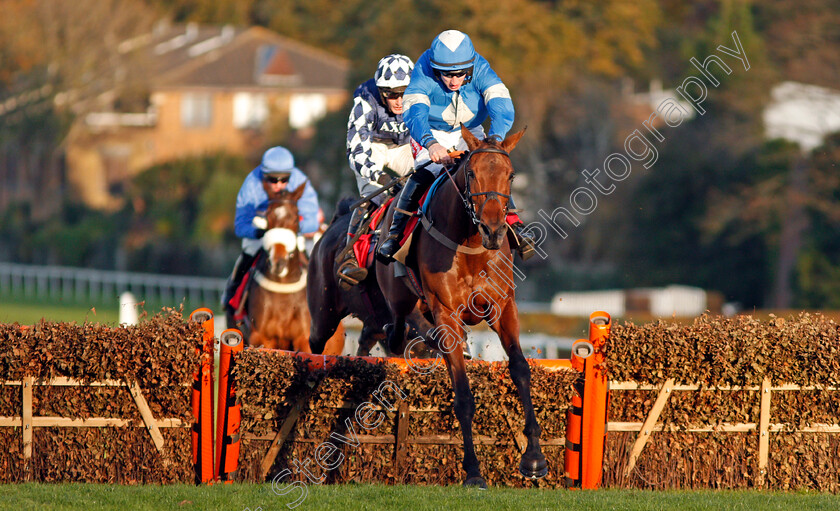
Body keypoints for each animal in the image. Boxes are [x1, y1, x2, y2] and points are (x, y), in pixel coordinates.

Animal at [374, 124, 544, 488]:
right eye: (471, 173)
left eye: (511, 175)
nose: (494, 230)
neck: (472, 245)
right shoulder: (447, 314)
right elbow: (463, 395)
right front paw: (474, 471)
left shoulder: (503, 307)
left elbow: (520, 369)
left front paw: (534, 458)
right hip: (400, 293)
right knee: (397, 325)